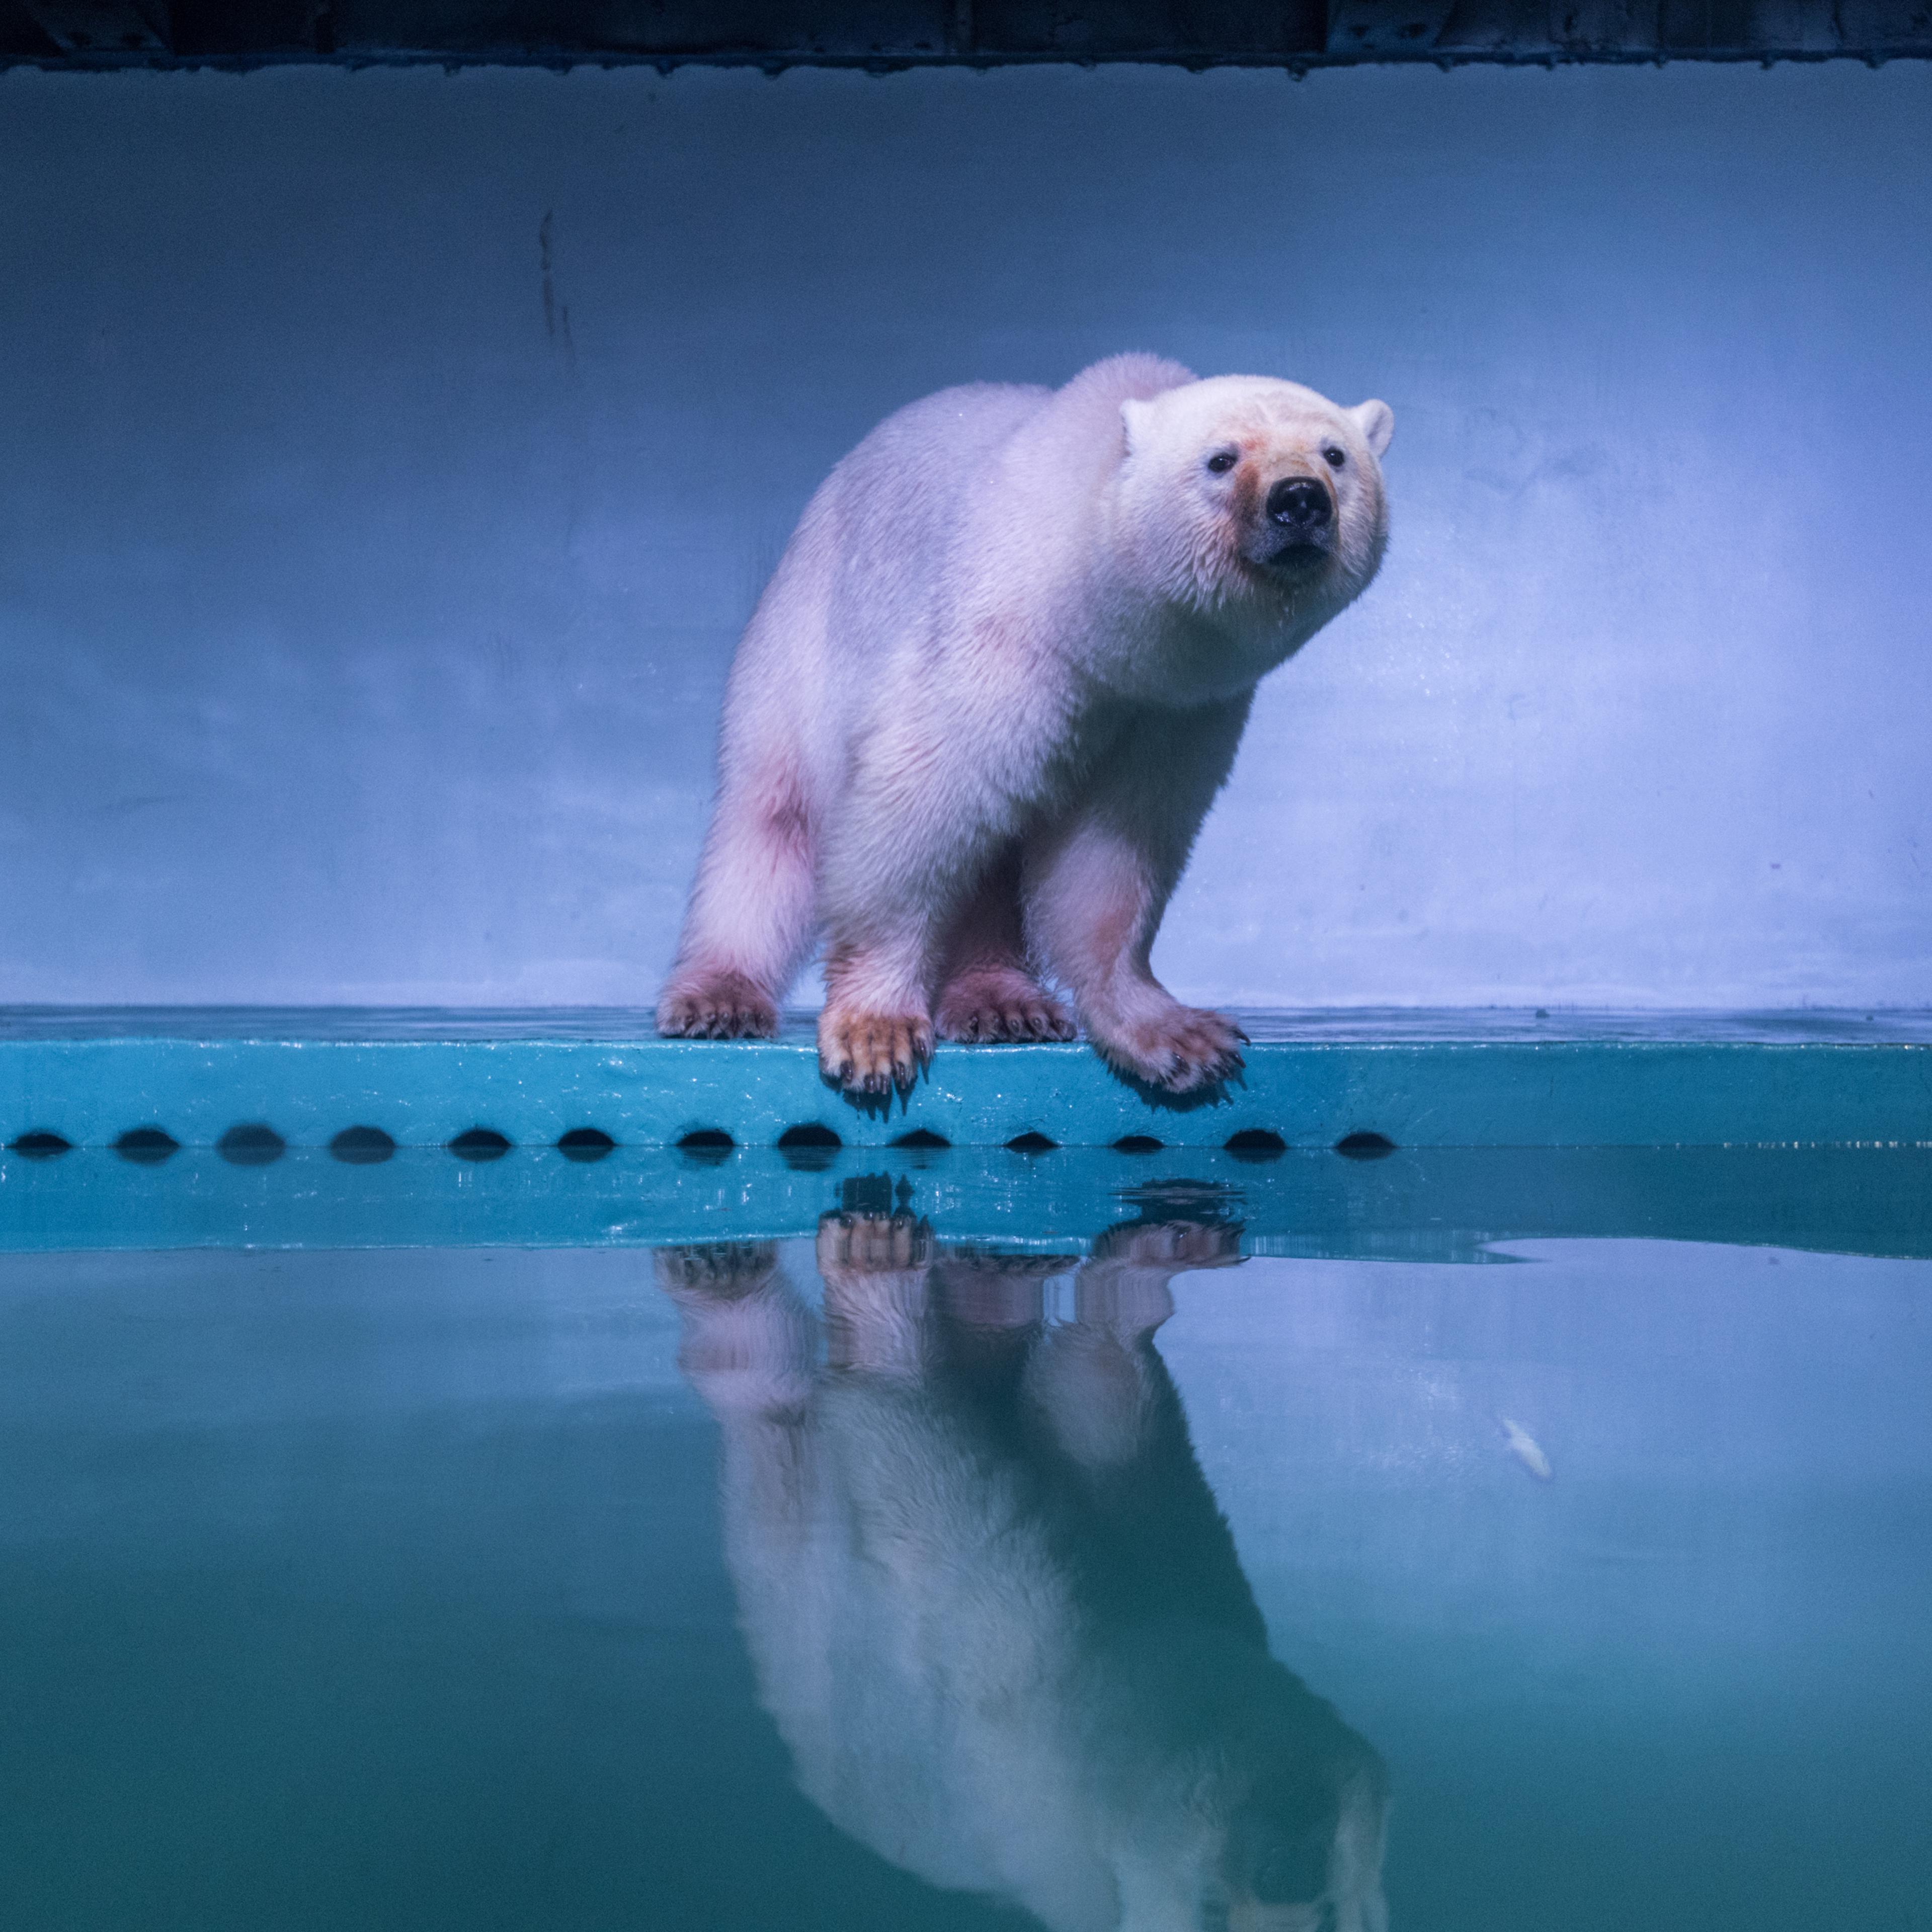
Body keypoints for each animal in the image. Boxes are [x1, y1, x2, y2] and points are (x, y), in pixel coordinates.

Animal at [656, 354, 1394, 1094]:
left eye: (1335, 454)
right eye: (1221, 459)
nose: (1300, 499)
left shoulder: (1172, 709)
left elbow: (1113, 852)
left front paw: (1175, 1036)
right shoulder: (1005, 638)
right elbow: (917, 802)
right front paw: (875, 1030)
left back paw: (1001, 1001)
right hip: (801, 642)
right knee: (774, 816)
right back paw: (719, 994)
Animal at [656, 1218, 1390, 1932]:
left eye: (1334, 1913)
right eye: (1209, 1909)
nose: (1287, 1870)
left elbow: (1025, 1422)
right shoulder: (1088, 1636)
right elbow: (1082, 1408)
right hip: (794, 1602)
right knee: (767, 1403)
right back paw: (727, 1267)